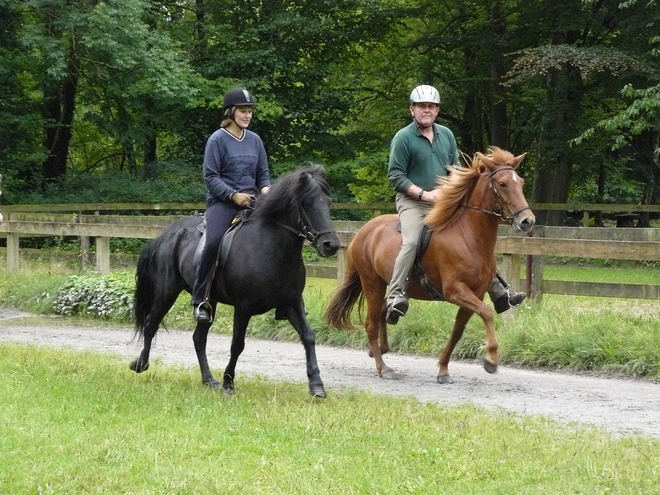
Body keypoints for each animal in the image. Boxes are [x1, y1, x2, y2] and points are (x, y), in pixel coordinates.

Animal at [130, 166, 340, 400]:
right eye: (307, 203)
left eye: (328, 202)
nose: (331, 245)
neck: (271, 248)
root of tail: (167, 234)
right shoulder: (243, 308)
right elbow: (237, 344)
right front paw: (228, 383)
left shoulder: (291, 303)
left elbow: (308, 337)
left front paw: (316, 385)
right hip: (167, 291)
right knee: (151, 324)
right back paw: (140, 364)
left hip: (209, 301)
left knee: (198, 338)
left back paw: (208, 380)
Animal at [324, 147, 536, 384]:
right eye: (502, 184)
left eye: (520, 182)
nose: (527, 221)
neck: (467, 236)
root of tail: (363, 232)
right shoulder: (455, 291)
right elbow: (487, 313)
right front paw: (490, 359)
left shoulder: (476, 294)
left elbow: (457, 331)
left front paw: (443, 370)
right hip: (372, 283)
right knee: (371, 324)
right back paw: (383, 367)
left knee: (384, 311)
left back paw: (383, 344)